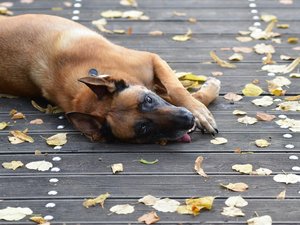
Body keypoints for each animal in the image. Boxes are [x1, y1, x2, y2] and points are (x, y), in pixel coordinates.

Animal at [0, 14, 220, 143]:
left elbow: (177, 89)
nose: (187, 120)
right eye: (144, 128)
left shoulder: (152, 60)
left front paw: (201, 112)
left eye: (148, 100)